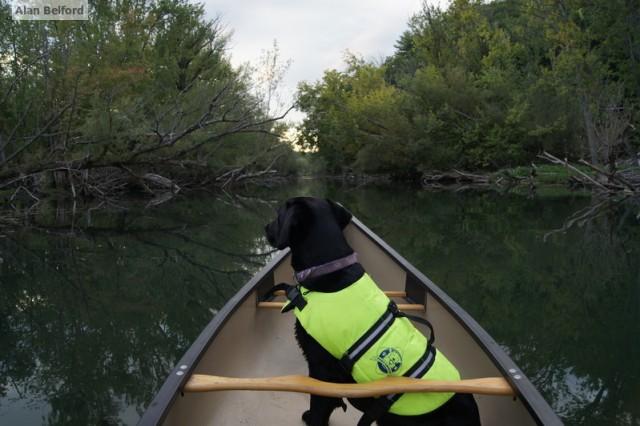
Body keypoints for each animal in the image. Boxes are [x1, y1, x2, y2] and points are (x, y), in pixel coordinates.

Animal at [264, 198, 480, 424]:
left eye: (278, 215)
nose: (265, 227)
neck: (329, 268)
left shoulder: (322, 371)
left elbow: (319, 407)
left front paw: (311, 417)